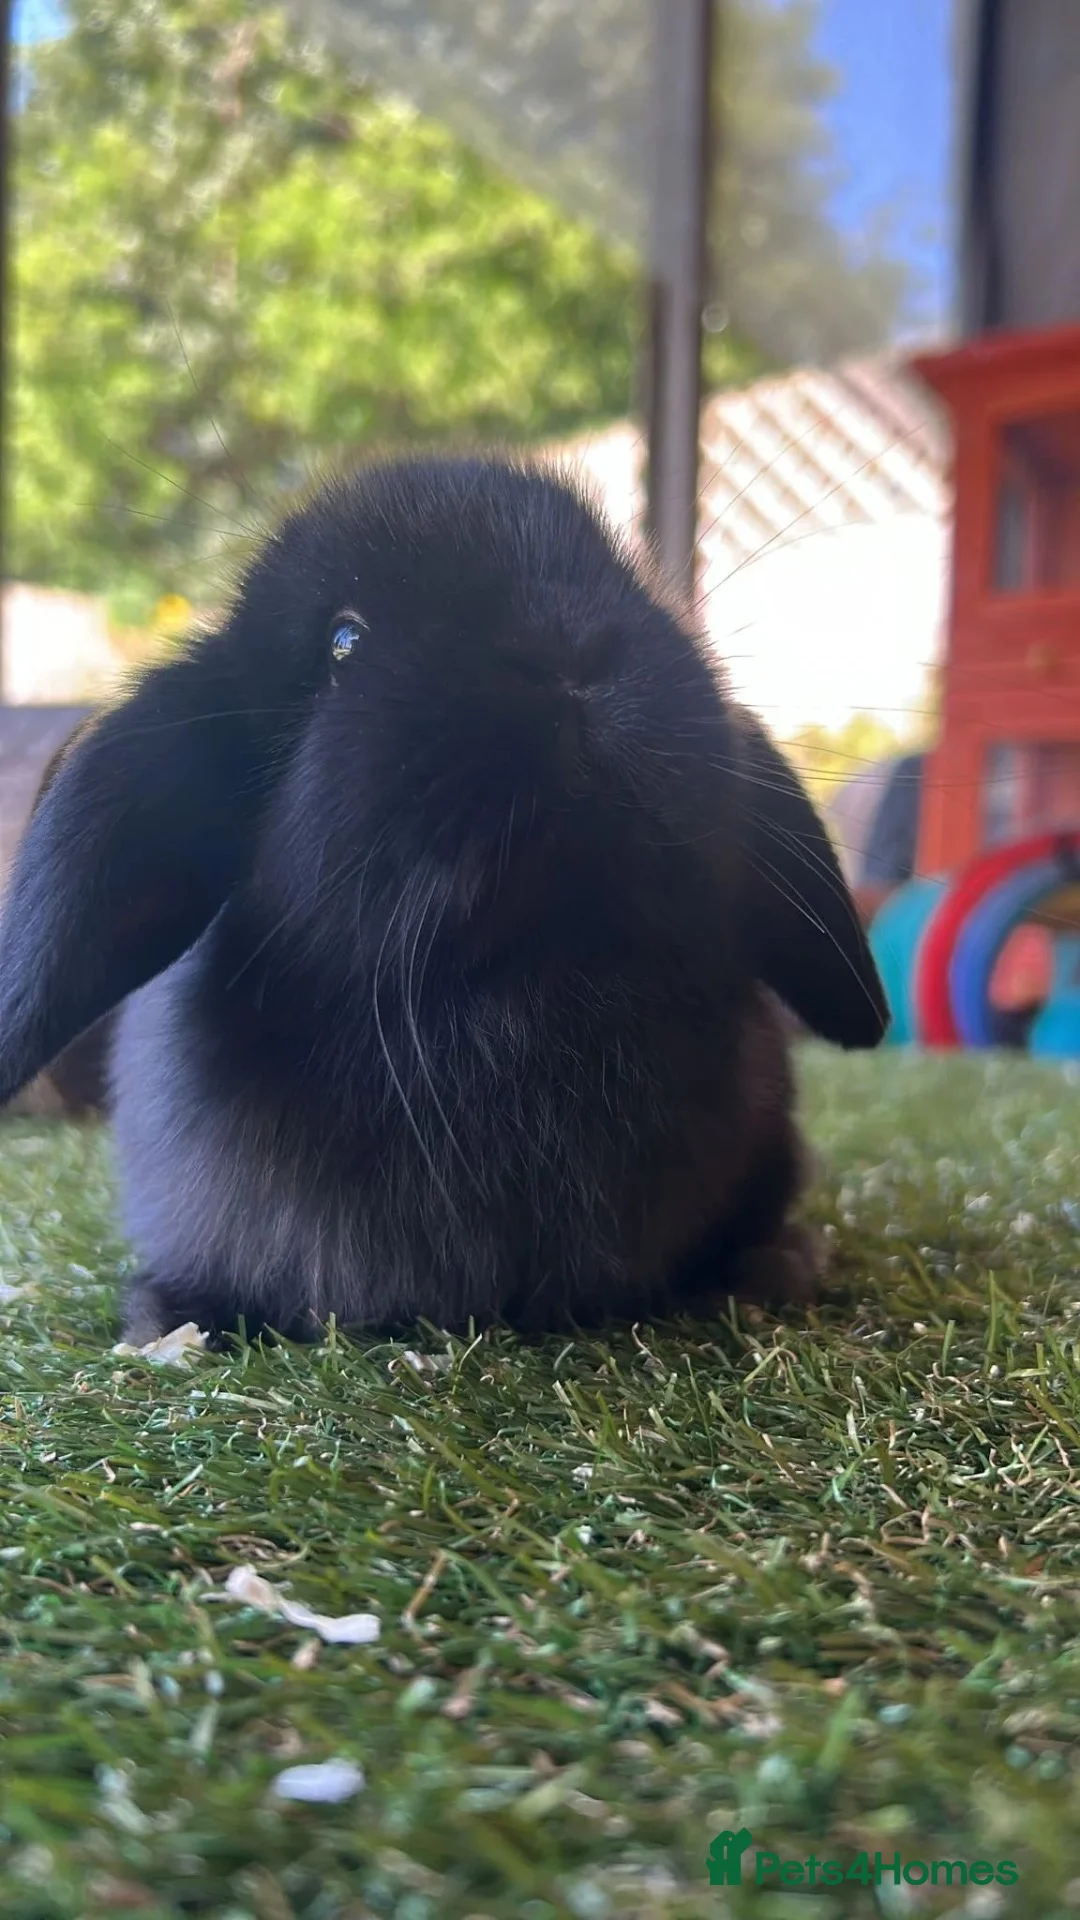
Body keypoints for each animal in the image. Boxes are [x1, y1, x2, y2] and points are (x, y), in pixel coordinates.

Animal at [0, 456, 887, 1344]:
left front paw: (762, 1272)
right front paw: (170, 1319)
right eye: (344, 643)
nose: (564, 649)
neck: (525, 977)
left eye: (622, 579)